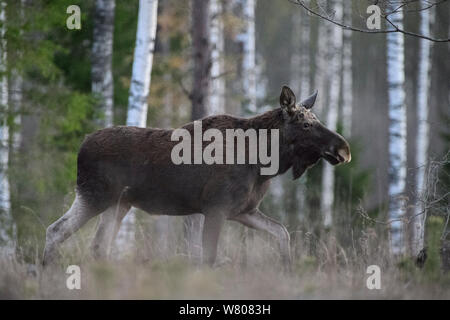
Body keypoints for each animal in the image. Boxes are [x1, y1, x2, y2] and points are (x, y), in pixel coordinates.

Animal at [43, 85, 352, 268]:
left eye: (317, 121)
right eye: (306, 124)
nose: (344, 149)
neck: (263, 162)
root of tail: (81, 145)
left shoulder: (244, 210)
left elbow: (282, 233)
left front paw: (287, 267)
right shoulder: (216, 207)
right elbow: (209, 258)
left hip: (119, 203)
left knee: (97, 245)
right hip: (95, 195)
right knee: (56, 230)